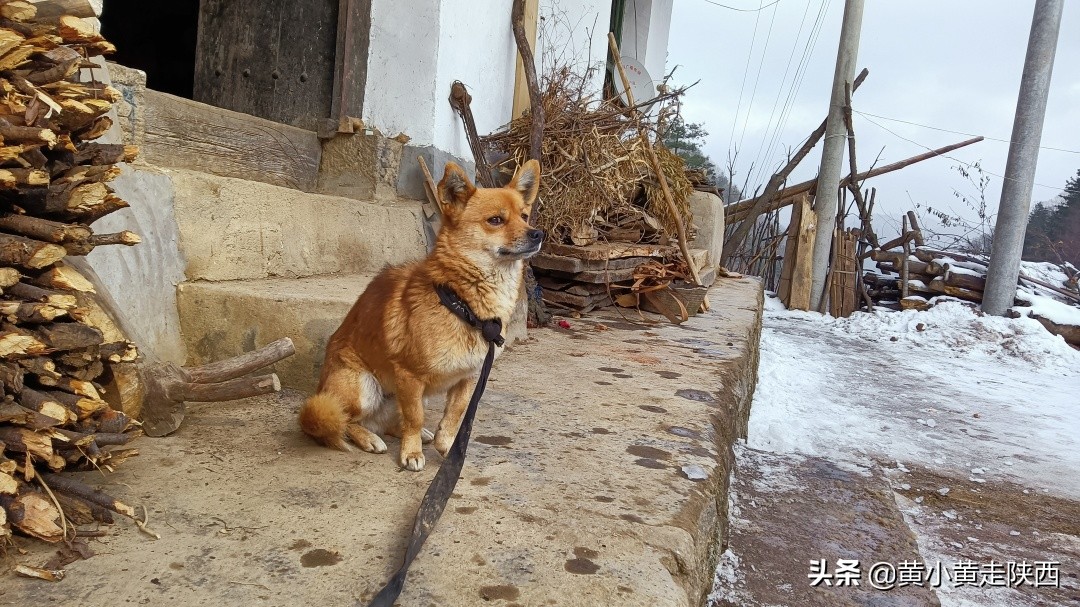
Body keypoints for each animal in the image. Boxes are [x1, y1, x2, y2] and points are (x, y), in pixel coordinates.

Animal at [300, 159, 544, 468]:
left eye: (524, 216)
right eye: (495, 220)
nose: (537, 234)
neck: (460, 301)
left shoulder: (468, 378)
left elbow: (454, 416)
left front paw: (447, 447)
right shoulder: (409, 376)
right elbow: (414, 418)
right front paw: (412, 452)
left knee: (388, 421)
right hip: (362, 387)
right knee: (348, 421)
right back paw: (369, 439)